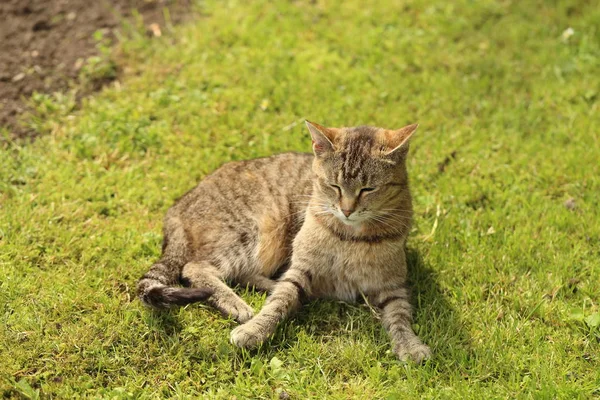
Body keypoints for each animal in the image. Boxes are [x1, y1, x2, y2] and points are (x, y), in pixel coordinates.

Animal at [138, 121, 432, 362]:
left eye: (368, 189)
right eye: (334, 186)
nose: (347, 210)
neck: (352, 235)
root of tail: (178, 205)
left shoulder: (393, 285)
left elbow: (400, 316)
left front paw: (410, 346)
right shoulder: (301, 269)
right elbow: (280, 301)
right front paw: (254, 330)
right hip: (254, 230)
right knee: (196, 268)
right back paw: (240, 303)